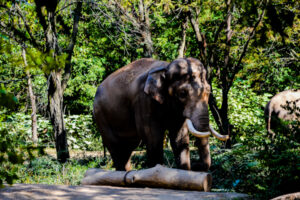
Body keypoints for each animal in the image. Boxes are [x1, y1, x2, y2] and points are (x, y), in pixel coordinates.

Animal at [92, 57, 229, 171]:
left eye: (208, 91)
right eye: (182, 93)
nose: (196, 165)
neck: (166, 67)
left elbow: (180, 137)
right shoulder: (143, 100)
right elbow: (152, 136)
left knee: (127, 150)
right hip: (101, 117)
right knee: (116, 149)